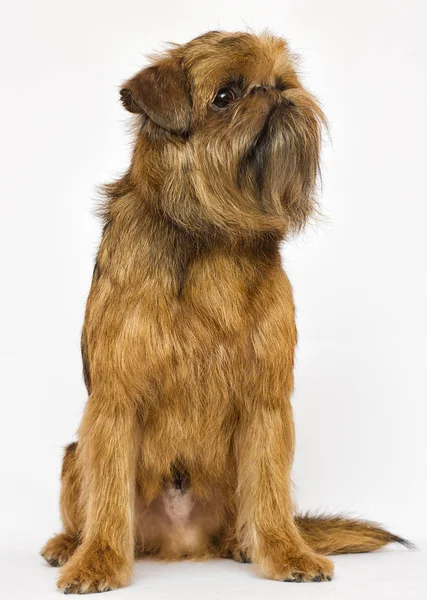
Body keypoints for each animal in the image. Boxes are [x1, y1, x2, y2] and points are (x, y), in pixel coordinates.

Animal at [41, 31, 412, 592]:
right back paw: (69, 546)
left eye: (283, 81)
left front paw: (286, 552)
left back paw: (247, 544)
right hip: (71, 455)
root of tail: (180, 543)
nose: (274, 92)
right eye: (225, 96)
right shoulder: (114, 403)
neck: (214, 234)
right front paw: (99, 561)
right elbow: (107, 495)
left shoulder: (267, 405)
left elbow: (270, 490)